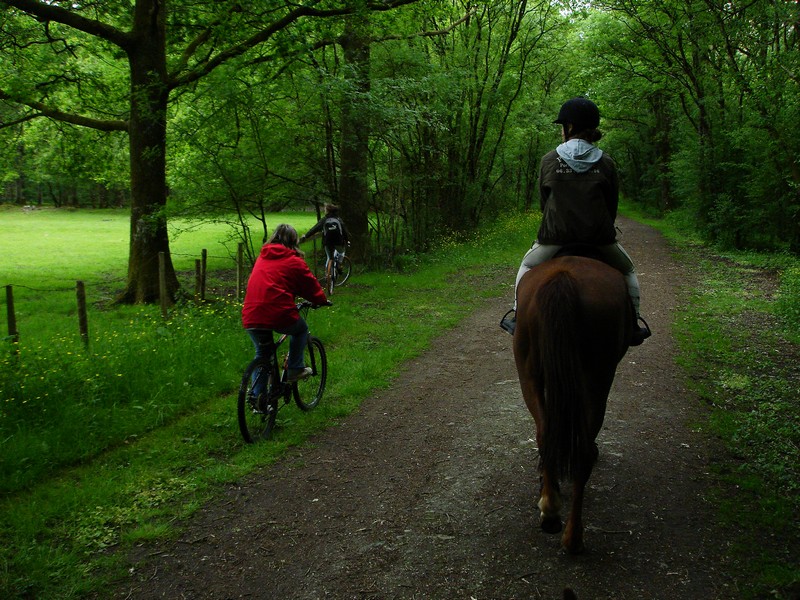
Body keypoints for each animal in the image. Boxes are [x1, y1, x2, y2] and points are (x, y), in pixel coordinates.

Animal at [516, 253, 636, 552]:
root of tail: (564, 278)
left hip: (529, 372)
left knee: (545, 432)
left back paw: (551, 513)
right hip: (598, 378)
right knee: (581, 447)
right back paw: (572, 537)